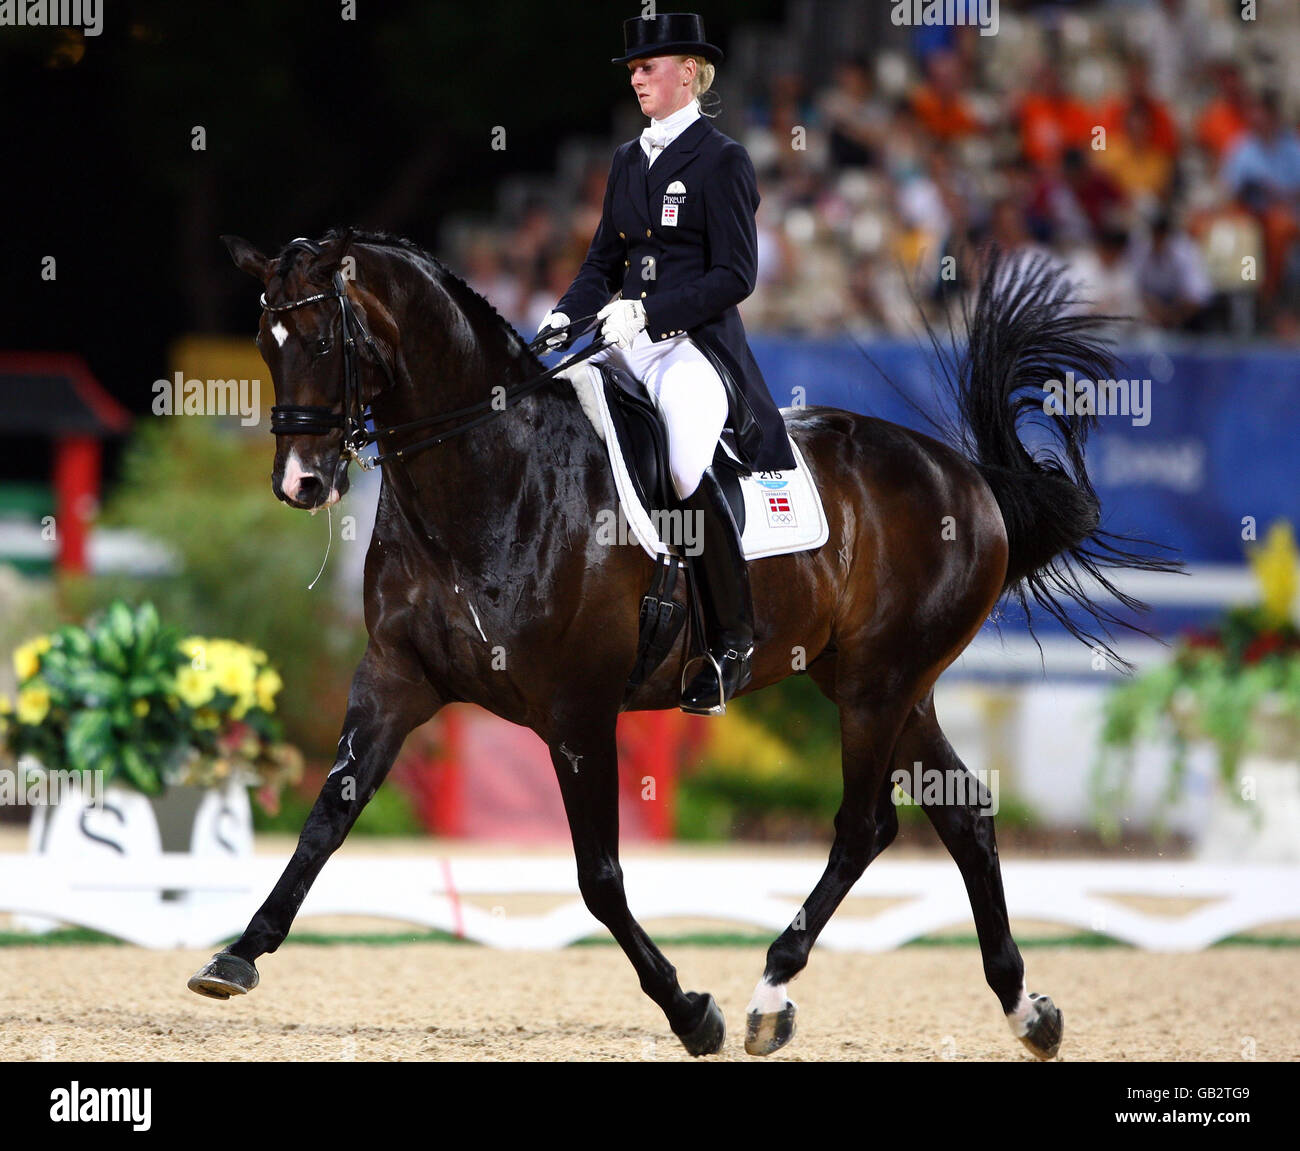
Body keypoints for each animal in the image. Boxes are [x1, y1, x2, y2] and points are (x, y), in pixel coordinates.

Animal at [188, 226, 1175, 1061]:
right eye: (267, 344)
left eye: (324, 341)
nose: (301, 481)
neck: (489, 471)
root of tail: (967, 475)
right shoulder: (395, 679)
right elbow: (329, 815)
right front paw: (236, 955)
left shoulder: (578, 712)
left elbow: (599, 876)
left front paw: (689, 1009)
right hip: (887, 687)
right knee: (964, 814)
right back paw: (1026, 1008)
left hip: (878, 688)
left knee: (865, 825)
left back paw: (770, 995)